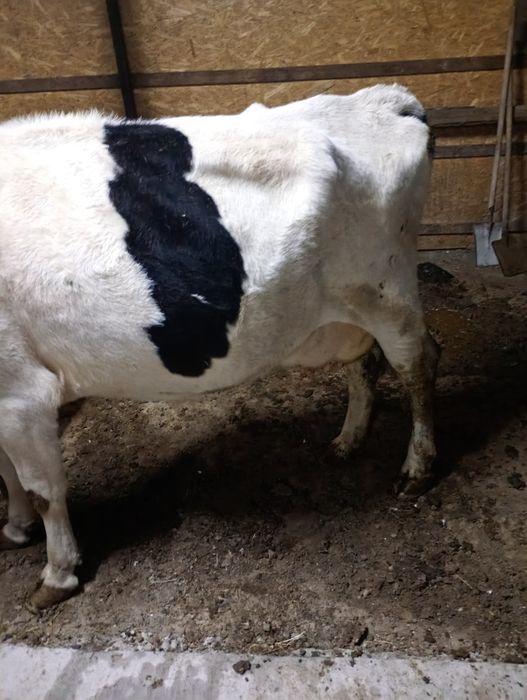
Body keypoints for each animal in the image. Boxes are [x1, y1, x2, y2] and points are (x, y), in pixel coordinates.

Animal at [0, 84, 439, 610]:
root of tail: (386, 100)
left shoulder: (22, 392)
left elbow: (42, 489)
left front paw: (57, 573)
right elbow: (7, 473)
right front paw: (16, 527)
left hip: (388, 293)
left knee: (417, 363)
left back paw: (417, 467)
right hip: (347, 308)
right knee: (365, 362)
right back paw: (349, 438)